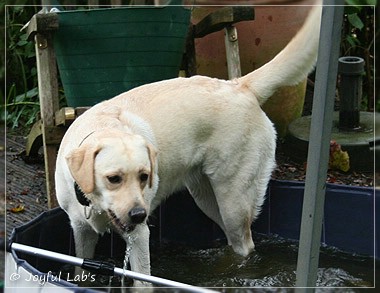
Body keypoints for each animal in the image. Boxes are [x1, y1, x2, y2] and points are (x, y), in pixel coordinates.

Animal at [54, 1, 320, 286]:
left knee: (245, 245)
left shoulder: (139, 236)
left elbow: (143, 282)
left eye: (144, 176)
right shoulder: (81, 230)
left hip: (234, 201)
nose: (139, 215)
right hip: (206, 197)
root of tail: (239, 86)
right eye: (113, 178)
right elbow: (80, 272)